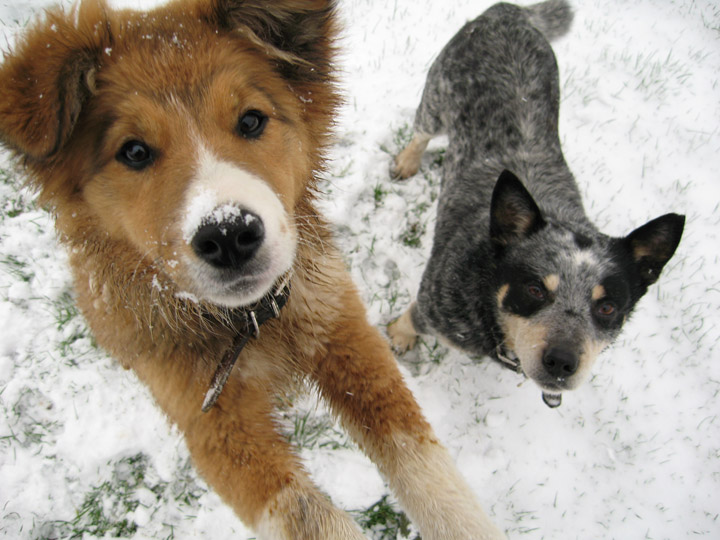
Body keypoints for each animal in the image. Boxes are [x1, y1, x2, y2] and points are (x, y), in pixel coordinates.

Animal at [0, 2, 506, 536]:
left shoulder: (343, 332)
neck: (251, 320)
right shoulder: (213, 425)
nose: (227, 234)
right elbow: (310, 517)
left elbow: (425, 466)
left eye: (250, 120)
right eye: (134, 151)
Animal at [390, 0, 684, 408]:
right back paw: (408, 161)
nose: (561, 361)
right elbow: (412, 318)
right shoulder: (434, 305)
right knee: (422, 130)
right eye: (534, 290)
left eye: (607, 307)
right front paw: (399, 336)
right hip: (437, 95)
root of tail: (511, 11)